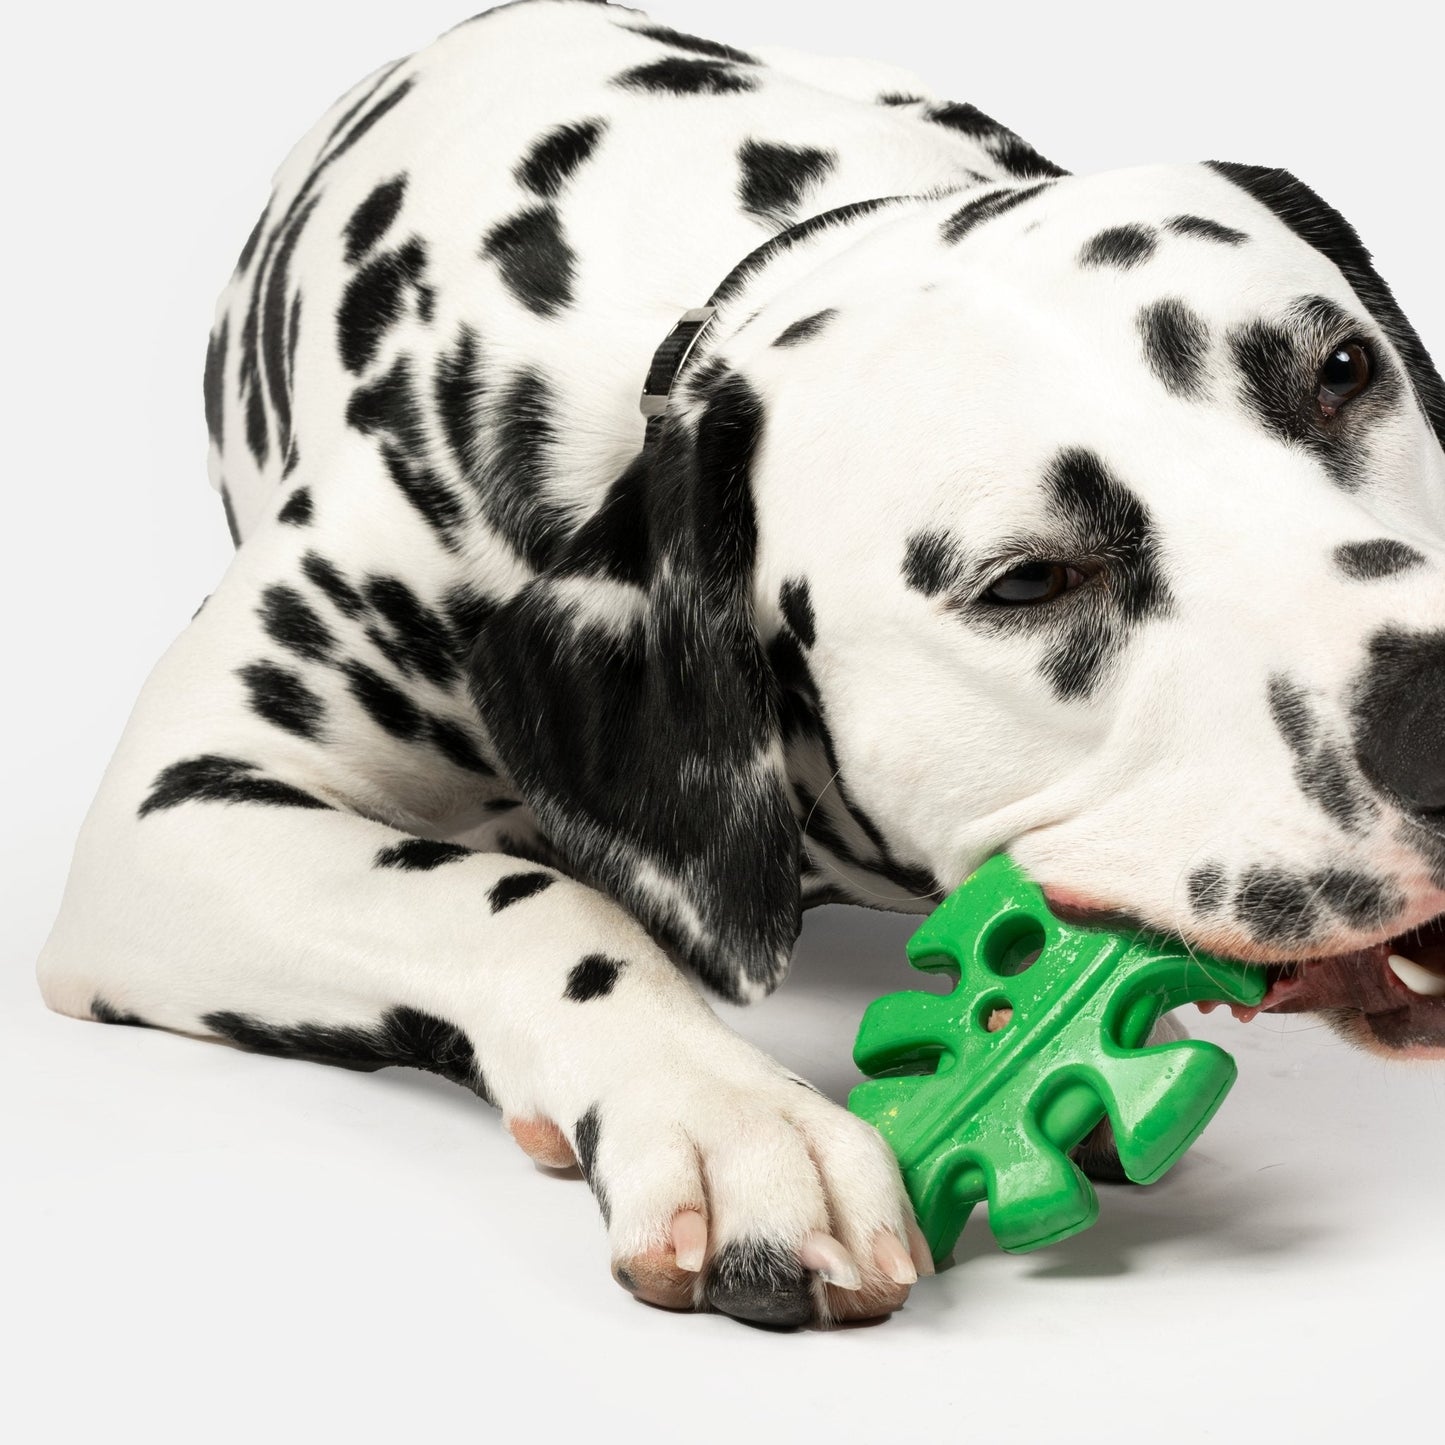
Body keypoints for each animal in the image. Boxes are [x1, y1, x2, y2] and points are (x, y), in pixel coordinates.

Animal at [39, 0, 1445, 1329]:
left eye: (1340, 370)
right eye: (1027, 579)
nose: (1435, 715)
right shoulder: (169, 813)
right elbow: (519, 898)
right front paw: (730, 1114)